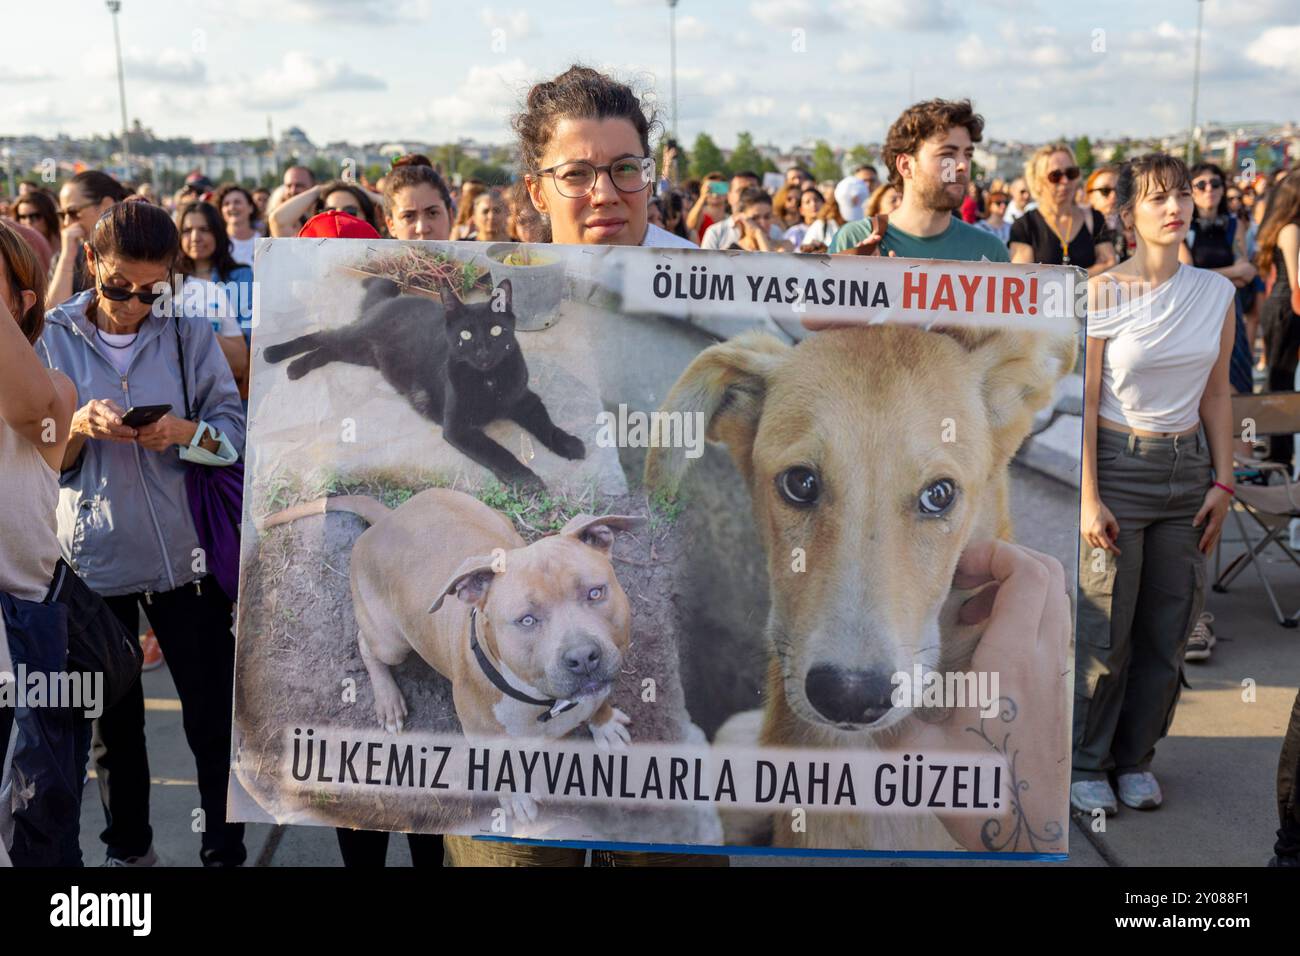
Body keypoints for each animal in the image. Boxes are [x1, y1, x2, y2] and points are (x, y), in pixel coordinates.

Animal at [256, 489, 642, 816]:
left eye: (595, 593)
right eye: (527, 620)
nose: (583, 657)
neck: (545, 703)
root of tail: (388, 518)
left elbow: (599, 702)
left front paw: (604, 724)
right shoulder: (485, 739)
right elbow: (500, 768)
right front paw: (514, 797)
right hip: (390, 641)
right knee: (367, 645)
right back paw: (387, 700)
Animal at [262, 274, 585, 486]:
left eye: (496, 330)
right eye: (466, 334)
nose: (483, 351)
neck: (489, 379)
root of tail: (392, 300)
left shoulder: (526, 399)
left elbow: (547, 425)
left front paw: (569, 443)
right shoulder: (458, 428)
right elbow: (498, 452)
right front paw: (526, 479)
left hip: (360, 353)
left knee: (327, 350)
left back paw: (296, 366)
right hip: (354, 339)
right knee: (320, 335)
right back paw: (277, 355)